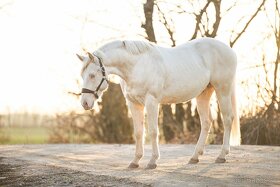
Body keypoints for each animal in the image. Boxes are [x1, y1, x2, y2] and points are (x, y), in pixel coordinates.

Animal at [76, 37, 241, 169]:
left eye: (92, 75)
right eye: (82, 75)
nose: (85, 103)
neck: (137, 65)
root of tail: (230, 50)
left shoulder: (152, 101)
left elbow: (153, 131)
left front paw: (152, 162)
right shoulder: (133, 104)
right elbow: (138, 133)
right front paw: (135, 161)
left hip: (223, 90)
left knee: (228, 119)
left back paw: (221, 156)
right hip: (203, 94)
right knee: (206, 123)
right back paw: (194, 157)